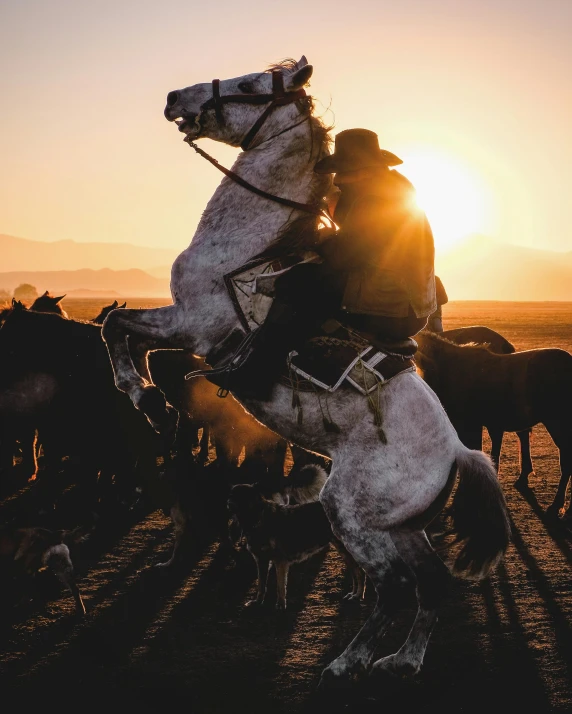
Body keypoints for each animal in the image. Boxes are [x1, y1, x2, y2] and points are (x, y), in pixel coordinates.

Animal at [103, 57, 510, 688]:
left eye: (249, 85)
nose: (174, 97)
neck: (242, 252)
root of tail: (457, 453)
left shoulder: (190, 325)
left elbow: (117, 324)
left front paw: (142, 395)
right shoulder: (182, 328)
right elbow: (121, 327)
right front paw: (150, 398)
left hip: (351, 514)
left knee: (394, 588)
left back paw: (347, 662)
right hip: (399, 526)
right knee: (430, 583)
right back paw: (403, 660)